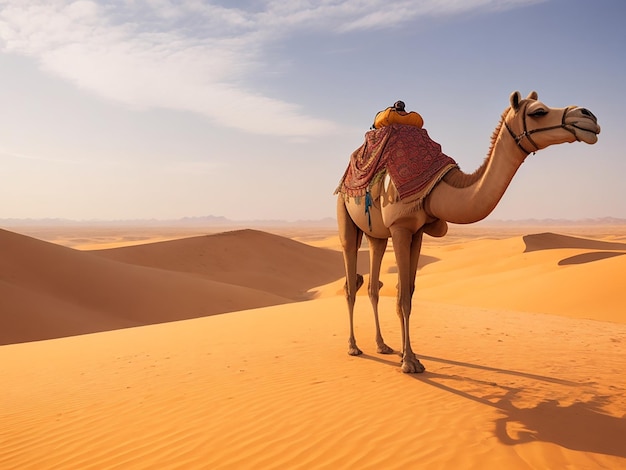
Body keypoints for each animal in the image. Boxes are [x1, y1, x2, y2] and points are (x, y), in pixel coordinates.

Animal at [336, 90, 600, 372]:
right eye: (538, 112)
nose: (588, 116)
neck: (436, 188)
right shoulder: (400, 228)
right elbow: (403, 298)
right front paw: (408, 362)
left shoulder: (417, 232)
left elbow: (408, 293)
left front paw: (412, 357)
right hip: (345, 214)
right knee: (350, 280)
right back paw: (353, 347)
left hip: (376, 235)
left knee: (373, 285)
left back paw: (382, 345)